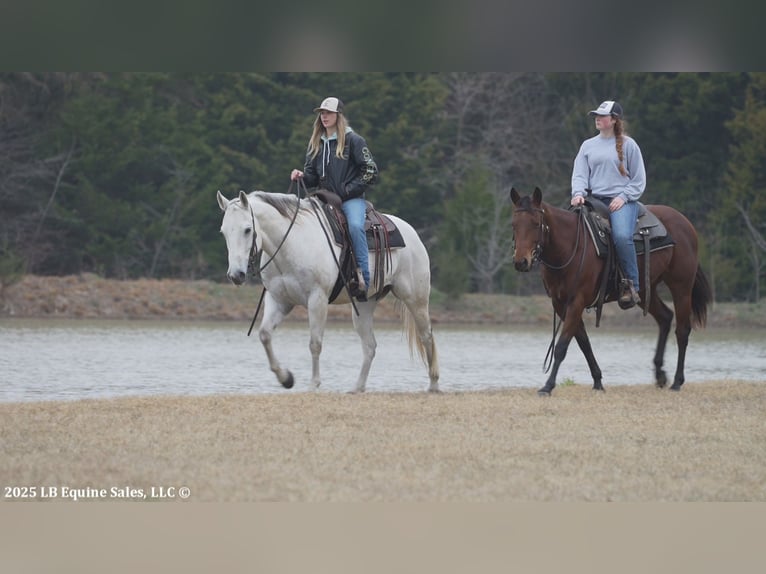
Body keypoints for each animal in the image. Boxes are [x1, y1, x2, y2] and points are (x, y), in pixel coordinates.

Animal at [219, 191, 440, 394]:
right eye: (223, 232)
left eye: (247, 229)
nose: (236, 275)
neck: (292, 243)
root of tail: (412, 234)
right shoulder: (279, 300)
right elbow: (265, 335)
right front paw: (286, 379)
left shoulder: (317, 299)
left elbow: (315, 343)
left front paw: (313, 385)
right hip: (364, 305)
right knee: (370, 346)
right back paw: (357, 388)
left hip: (416, 299)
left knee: (427, 336)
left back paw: (433, 384)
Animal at [510, 187, 712, 398]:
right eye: (513, 224)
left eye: (536, 223)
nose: (521, 262)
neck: (570, 247)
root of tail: (685, 223)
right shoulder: (560, 304)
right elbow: (583, 342)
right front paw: (598, 381)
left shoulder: (576, 301)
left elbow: (562, 346)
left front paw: (548, 386)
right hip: (645, 290)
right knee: (665, 317)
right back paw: (660, 375)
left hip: (681, 287)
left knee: (682, 330)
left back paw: (677, 382)